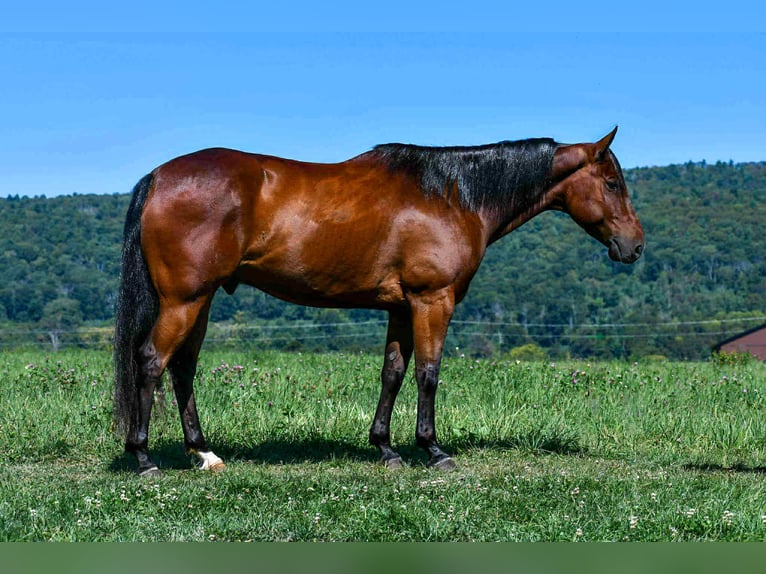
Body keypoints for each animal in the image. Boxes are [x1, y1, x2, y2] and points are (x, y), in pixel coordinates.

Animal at [114, 127, 644, 476]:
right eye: (612, 183)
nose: (635, 246)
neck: (452, 196)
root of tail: (158, 177)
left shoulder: (401, 308)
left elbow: (393, 373)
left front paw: (385, 449)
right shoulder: (433, 301)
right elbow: (428, 373)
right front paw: (433, 450)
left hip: (199, 301)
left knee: (182, 369)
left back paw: (203, 453)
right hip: (183, 300)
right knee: (151, 361)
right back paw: (142, 457)